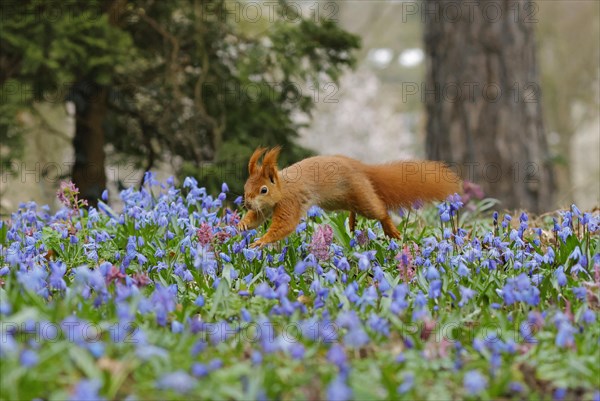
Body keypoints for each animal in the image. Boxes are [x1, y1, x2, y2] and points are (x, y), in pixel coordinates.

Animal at [237, 147, 462, 247]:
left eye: (264, 190)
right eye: (246, 186)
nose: (247, 203)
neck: (282, 188)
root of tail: (360, 168)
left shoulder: (289, 202)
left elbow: (284, 225)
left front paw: (262, 241)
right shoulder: (265, 208)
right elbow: (256, 218)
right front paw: (241, 224)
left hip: (362, 197)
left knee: (380, 211)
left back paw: (391, 230)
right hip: (341, 199)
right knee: (354, 209)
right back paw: (352, 223)